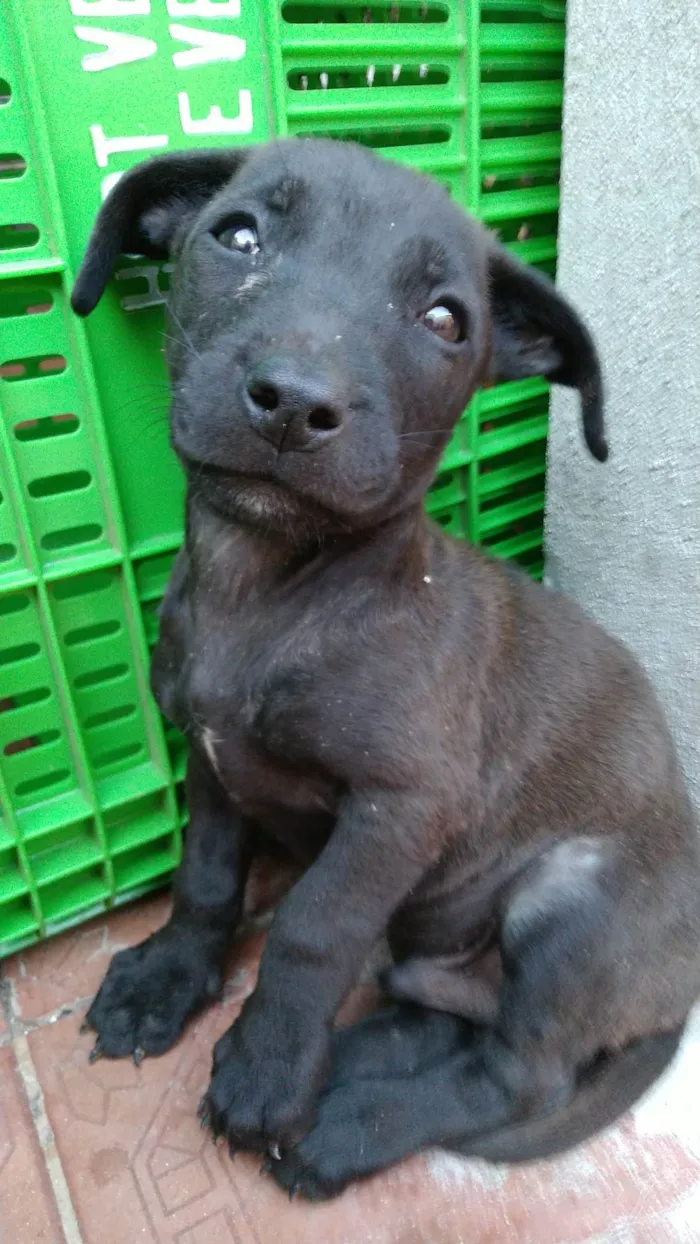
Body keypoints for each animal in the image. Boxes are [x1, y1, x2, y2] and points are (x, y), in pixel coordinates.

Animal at [72, 141, 700, 1199]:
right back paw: (349, 1064)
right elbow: (206, 875)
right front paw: (168, 980)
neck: (266, 589)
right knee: (437, 1013)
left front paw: (266, 1071)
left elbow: (312, 927)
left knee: (519, 1074)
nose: (294, 402)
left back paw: (343, 1121)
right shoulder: (209, 758)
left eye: (445, 320)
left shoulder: (401, 808)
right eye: (238, 235)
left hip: (573, 904)